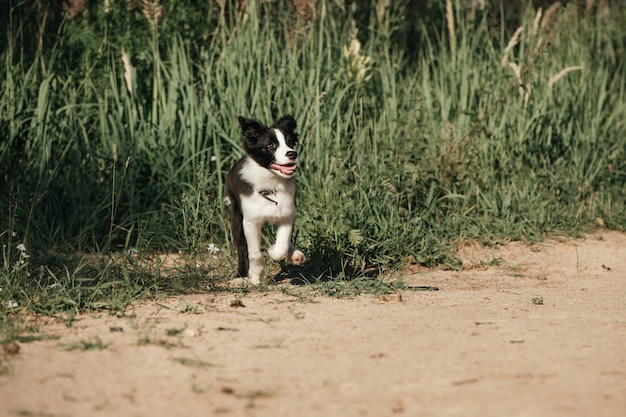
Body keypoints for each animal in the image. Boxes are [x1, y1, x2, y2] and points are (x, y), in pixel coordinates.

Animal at [224, 114, 304, 282]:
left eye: (290, 143)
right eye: (270, 146)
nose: (292, 153)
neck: (271, 184)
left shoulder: (287, 214)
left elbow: (282, 245)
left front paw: (273, 251)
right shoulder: (250, 221)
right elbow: (254, 253)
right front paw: (255, 275)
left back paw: (295, 254)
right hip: (236, 217)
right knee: (242, 248)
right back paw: (240, 276)